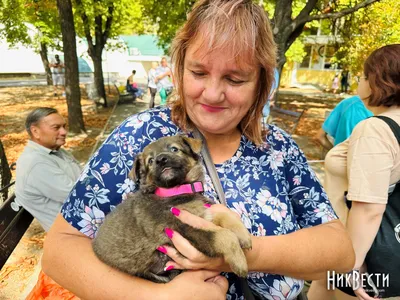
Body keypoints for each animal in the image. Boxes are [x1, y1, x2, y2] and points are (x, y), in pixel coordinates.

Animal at [92, 136, 252, 284]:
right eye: (150, 161)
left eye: (174, 149)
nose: (161, 159)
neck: (174, 191)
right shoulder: (182, 229)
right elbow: (223, 235)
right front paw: (239, 261)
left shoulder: (203, 213)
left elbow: (225, 216)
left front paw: (244, 235)